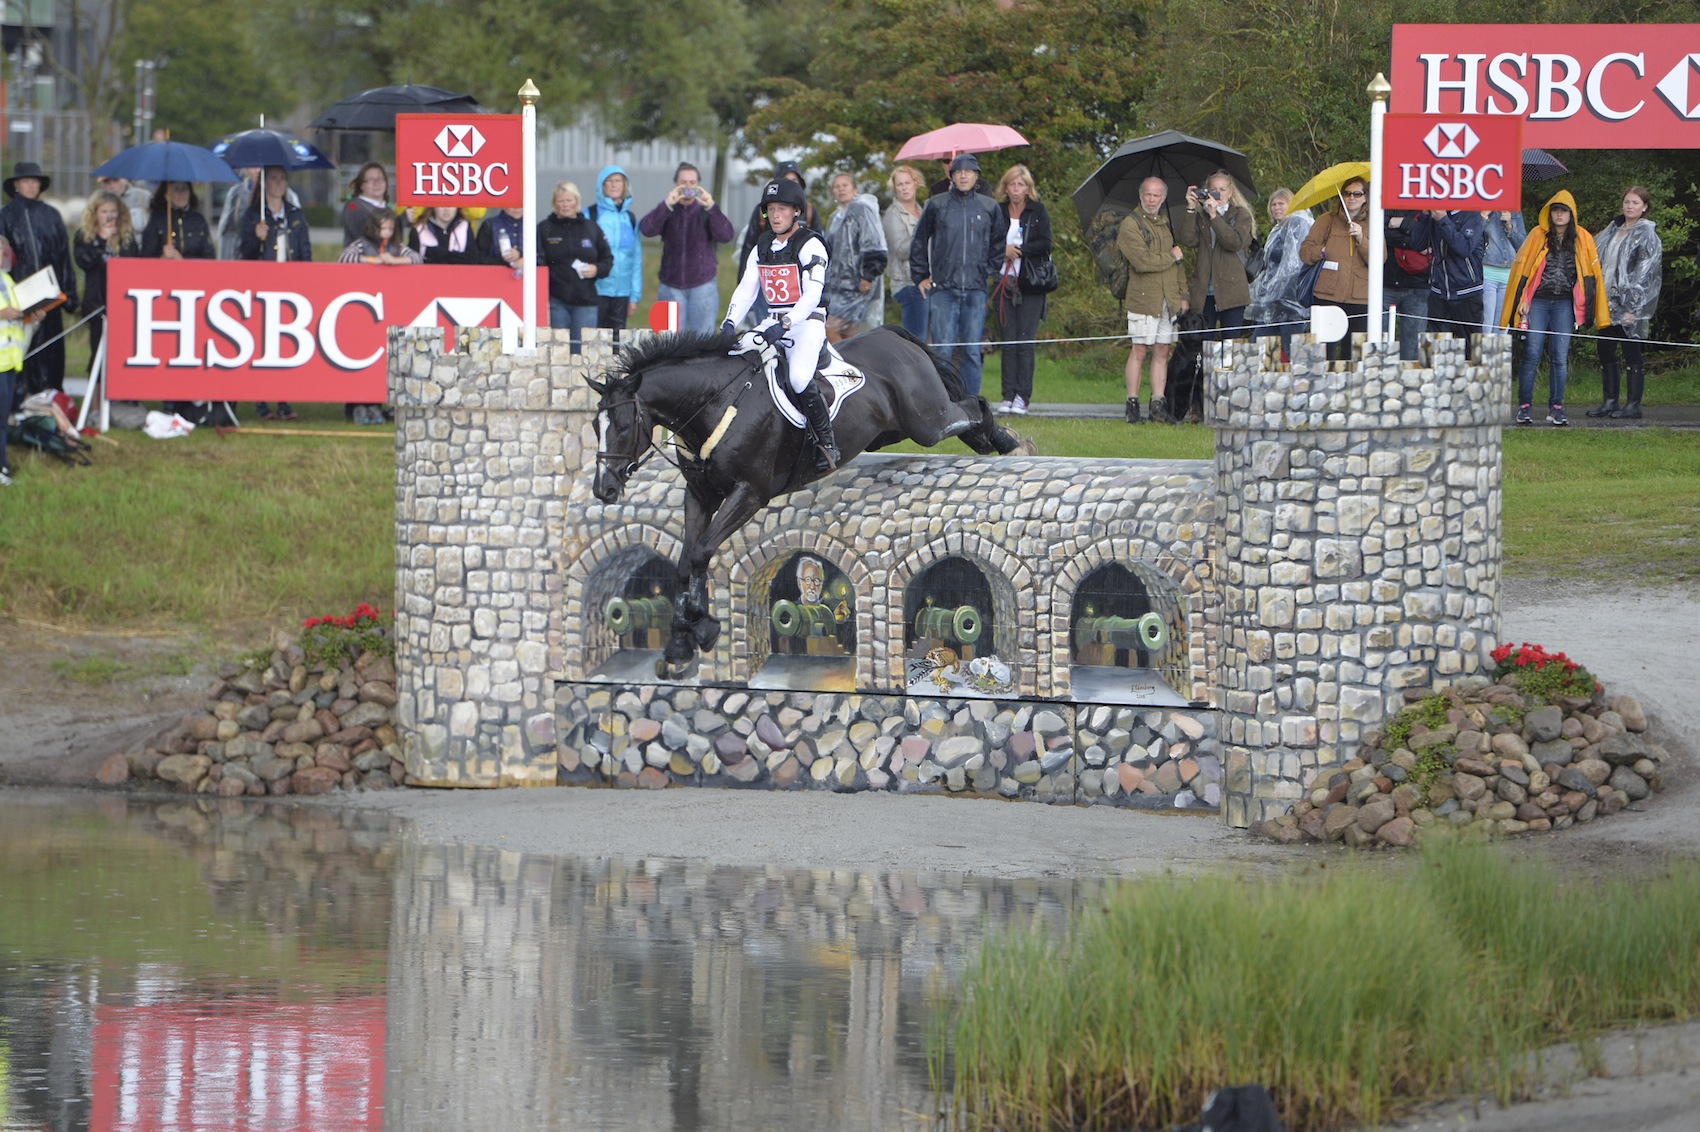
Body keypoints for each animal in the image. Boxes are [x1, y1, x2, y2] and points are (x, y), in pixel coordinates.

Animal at [591, 321, 1013, 673]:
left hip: (926, 422)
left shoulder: (749, 493)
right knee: (965, 412)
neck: (715, 404)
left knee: (972, 407)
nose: (603, 489)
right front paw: (680, 643)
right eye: (596, 424)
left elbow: (699, 553)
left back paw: (1005, 439)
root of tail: (891, 335)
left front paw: (704, 627)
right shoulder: (699, 496)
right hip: (893, 430)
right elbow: (684, 563)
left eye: (624, 425)